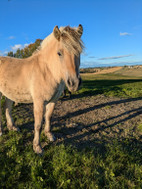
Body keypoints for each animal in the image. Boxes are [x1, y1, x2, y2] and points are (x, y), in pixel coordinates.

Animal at [0, 24, 84, 154]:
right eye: (59, 53)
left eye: (79, 51)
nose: (74, 83)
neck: (47, 71)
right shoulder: (39, 102)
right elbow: (38, 124)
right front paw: (37, 147)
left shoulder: (53, 100)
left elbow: (48, 117)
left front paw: (49, 135)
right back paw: (1, 131)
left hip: (9, 94)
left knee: (7, 108)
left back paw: (12, 127)